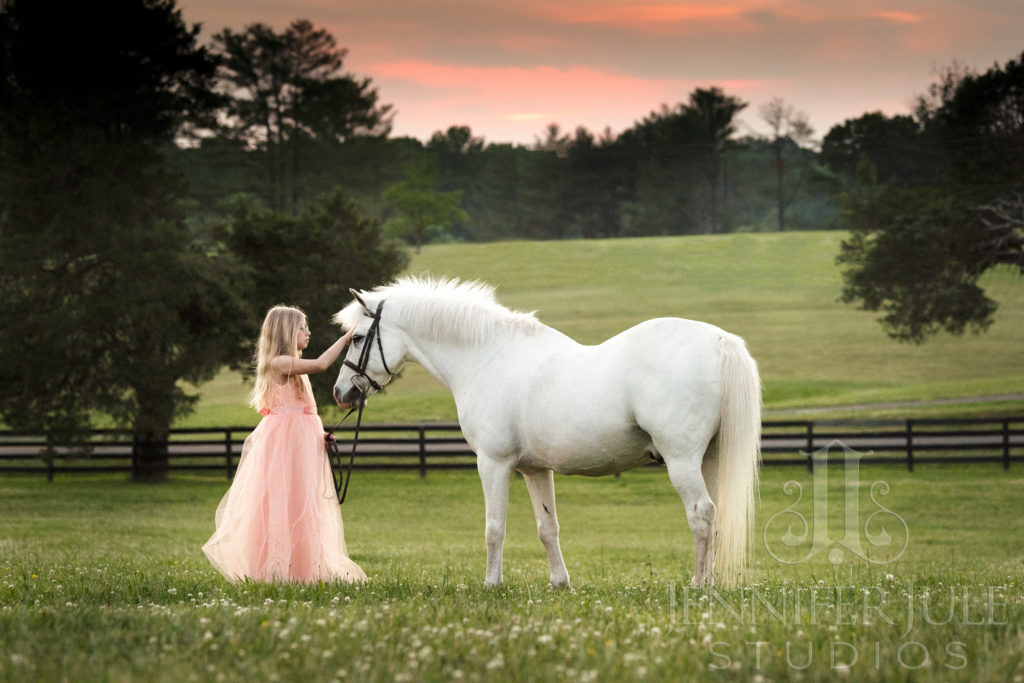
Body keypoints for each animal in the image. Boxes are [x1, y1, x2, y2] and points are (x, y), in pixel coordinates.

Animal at [331, 276, 757, 589]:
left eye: (356, 338)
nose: (341, 393)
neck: (488, 357)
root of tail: (721, 341)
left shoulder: (493, 464)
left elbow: (494, 528)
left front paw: (492, 584)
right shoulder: (535, 469)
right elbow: (547, 527)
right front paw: (559, 583)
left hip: (681, 460)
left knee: (700, 513)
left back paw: (699, 585)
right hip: (710, 459)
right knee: (715, 514)